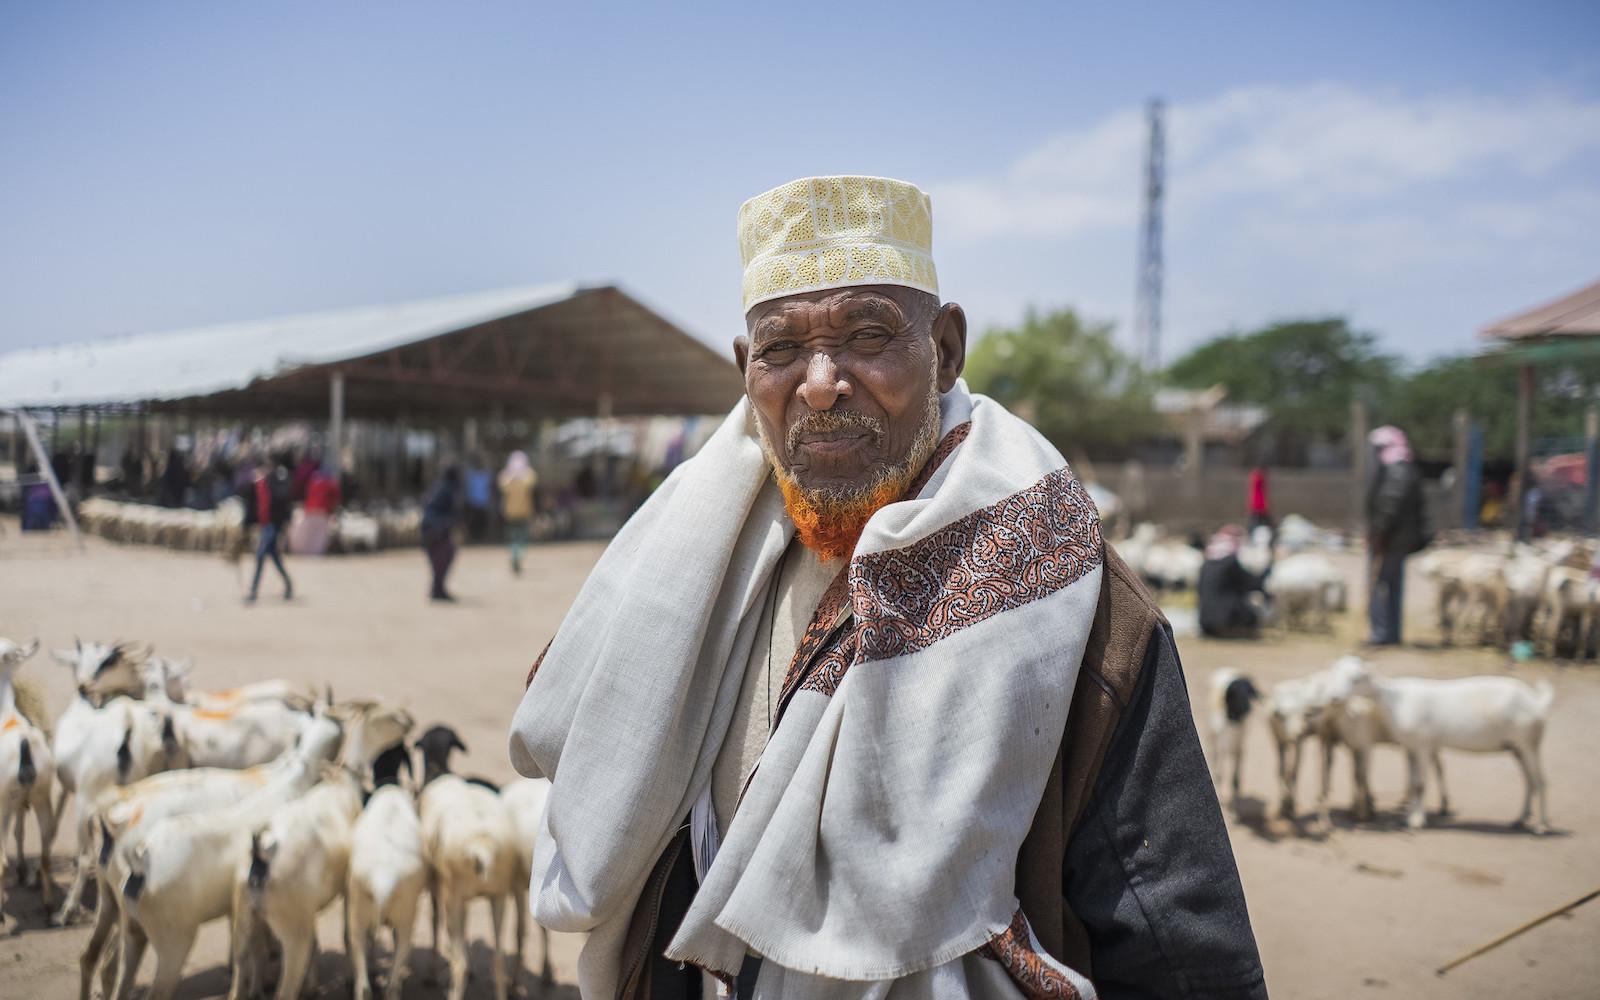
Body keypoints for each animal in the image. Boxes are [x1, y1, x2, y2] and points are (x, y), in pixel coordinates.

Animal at [419, 777, 512, 998]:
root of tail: (482, 847)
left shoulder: (441, 888)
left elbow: (435, 921)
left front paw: (432, 975)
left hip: (451, 895)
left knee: (457, 960)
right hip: (498, 895)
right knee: (498, 958)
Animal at [1331, 659, 1555, 832]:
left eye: (1357, 678)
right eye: (1336, 674)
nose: (1335, 697)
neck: (1394, 699)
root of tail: (1538, 702)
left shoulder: (1422, 745)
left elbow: (1420, 784)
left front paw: (1416, 821)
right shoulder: (1412, 748)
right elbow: (1413, 782)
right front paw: (1407, 817)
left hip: (1529, 743)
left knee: (1541, 781)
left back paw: (1542, 826)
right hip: (1516, 747)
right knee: (1529, 781)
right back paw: (1520, 820)